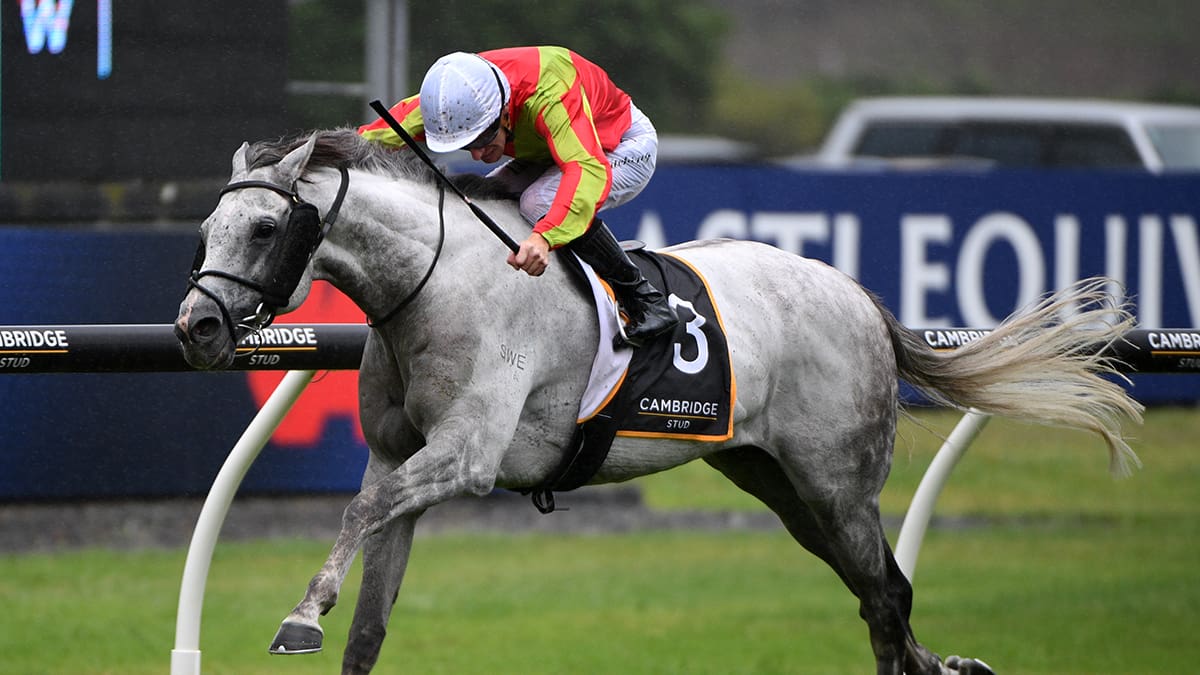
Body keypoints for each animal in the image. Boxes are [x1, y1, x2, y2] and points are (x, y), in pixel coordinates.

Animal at [174, 128, 1143, 675]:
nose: (197, 327)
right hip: (781, 486)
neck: (437, 280)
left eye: (265, 227)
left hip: (839, 486)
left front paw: (299, 617)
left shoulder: (466, 456)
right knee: (883, 600)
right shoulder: (399, 457)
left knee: (887, 599)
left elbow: (357, 512)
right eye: (207, 230)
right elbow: (370, 616)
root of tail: (861, 297)